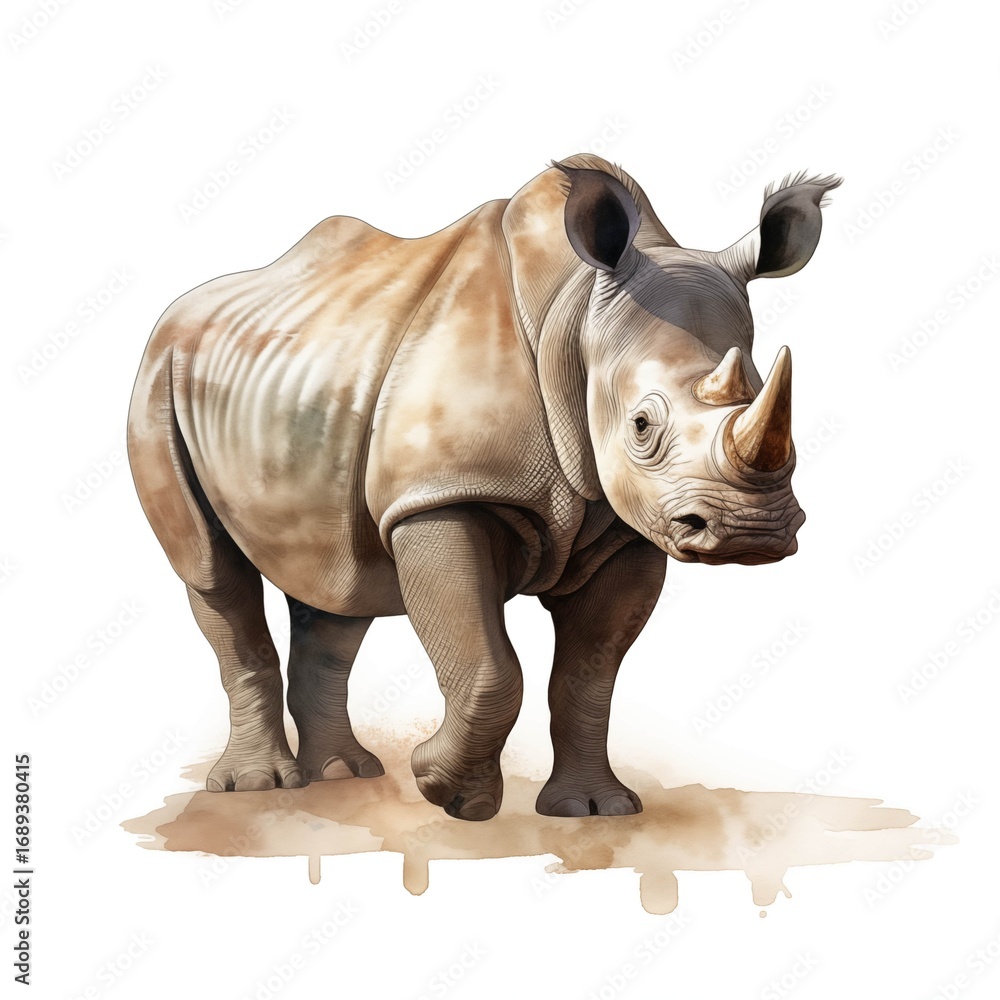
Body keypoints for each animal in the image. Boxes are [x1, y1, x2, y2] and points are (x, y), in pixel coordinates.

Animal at [127, 154, 840, 821]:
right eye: (641, 425)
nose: (752, 533)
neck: (574, 317)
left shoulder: (629, 525)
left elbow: (589, 675)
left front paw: (592, 810)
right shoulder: (441, 495)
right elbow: (489, 665)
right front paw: (447, 792)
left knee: (338, 581)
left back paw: (341, 773)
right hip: (159, 370)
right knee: (211, 568)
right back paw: (261, 786)